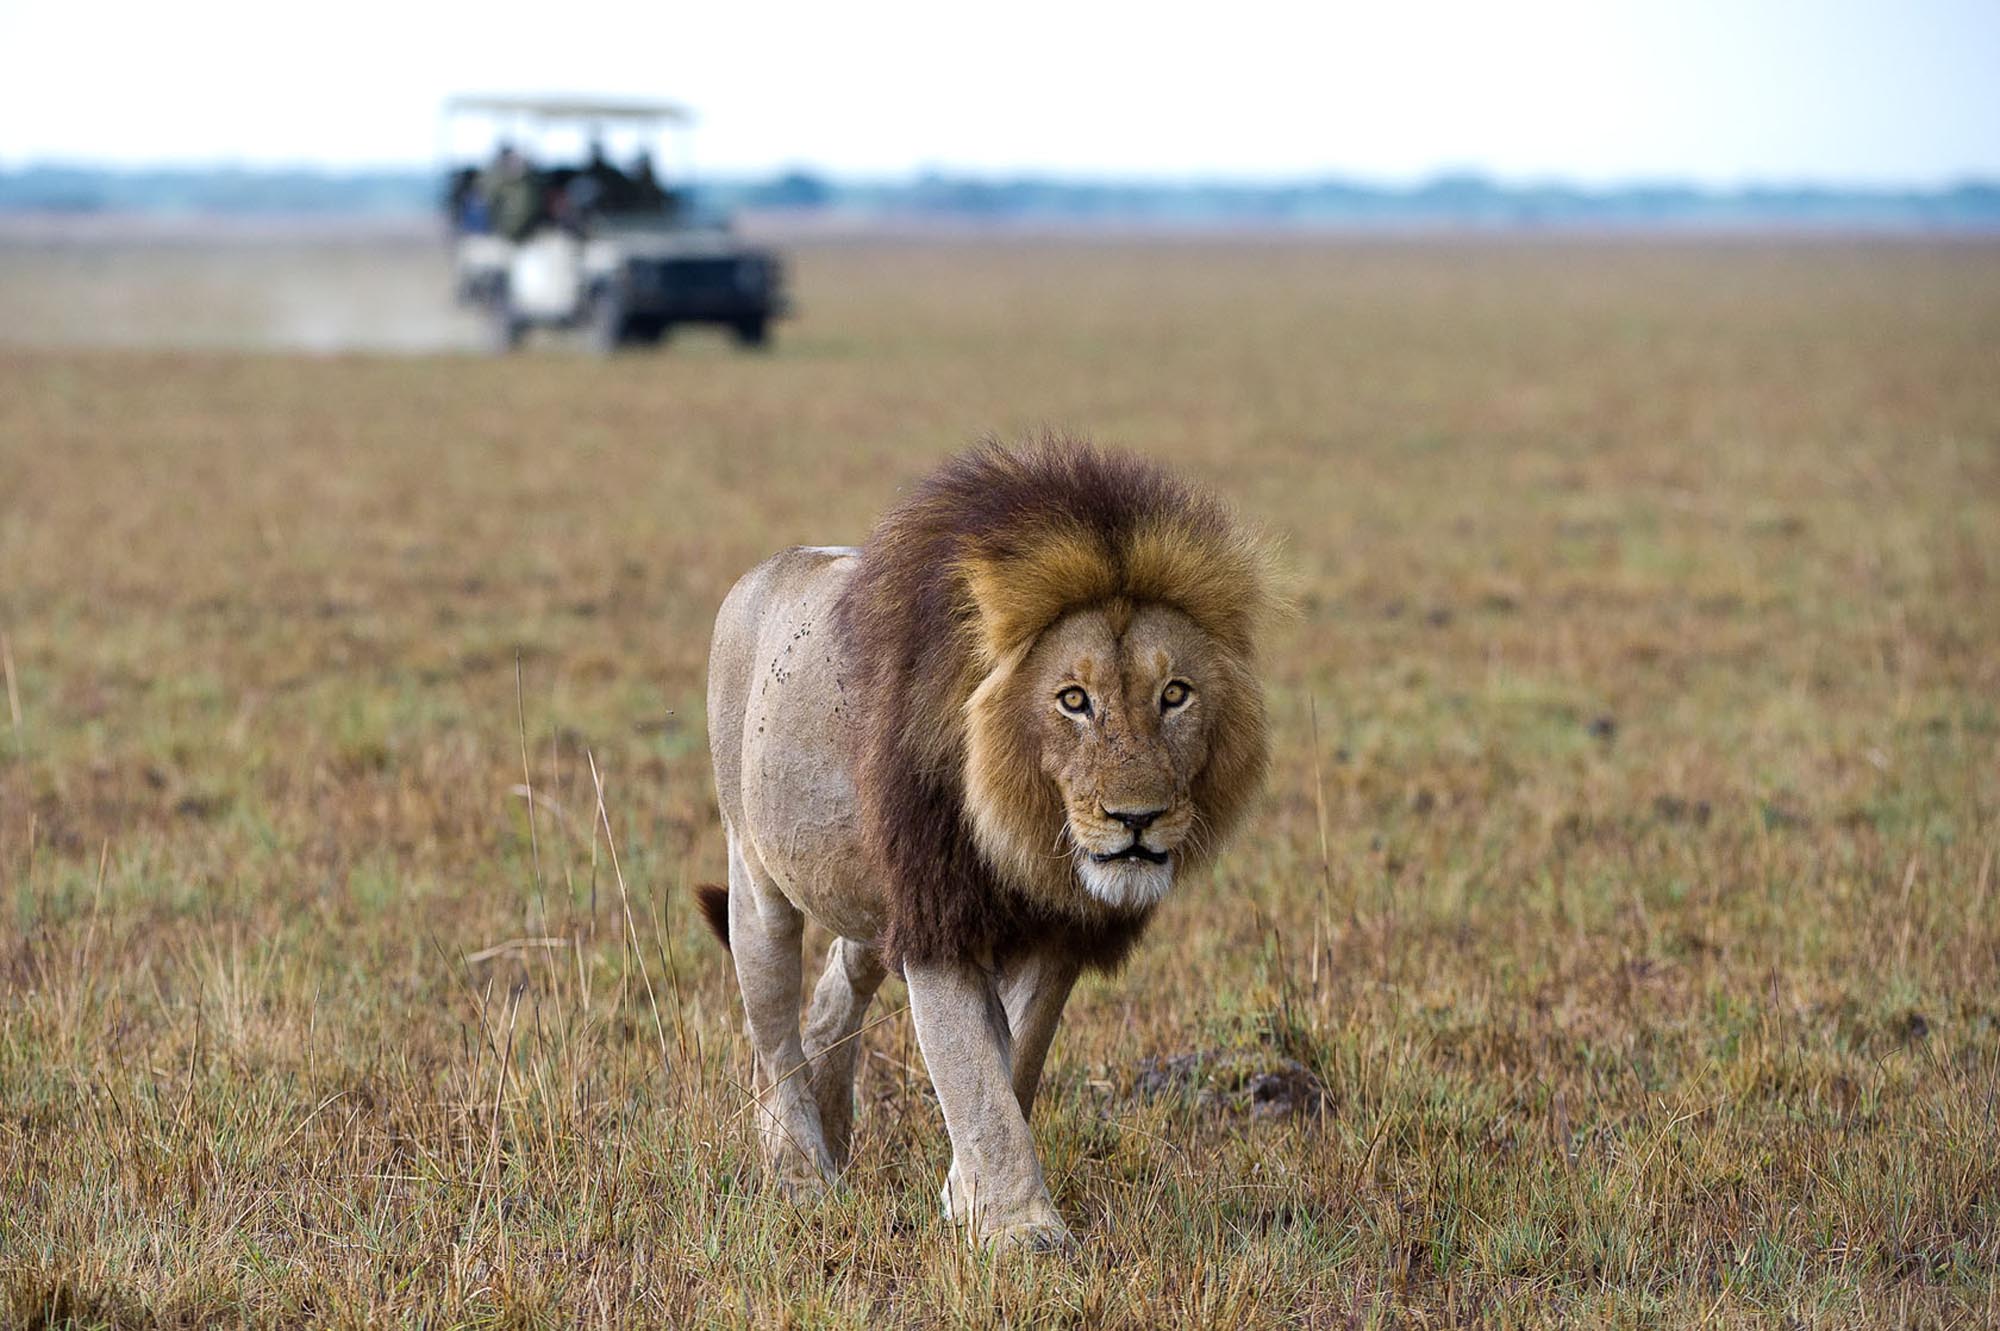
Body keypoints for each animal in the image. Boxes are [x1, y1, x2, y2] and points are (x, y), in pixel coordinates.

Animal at [699, 438, 1279, 1248]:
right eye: (1073, 699)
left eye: (1175, 694)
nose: (1137, 818)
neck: (1024, 833)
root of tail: (765, 570)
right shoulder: (940, 917)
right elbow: (975, 1071)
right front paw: (1019, 1230)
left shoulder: (1057, 930)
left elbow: (1017, 1058)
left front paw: (964, 1197)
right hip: (755, 876)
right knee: (772, 1027)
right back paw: (800, 1174)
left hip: (872, 899)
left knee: (838, 985)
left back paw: (834, 1127)